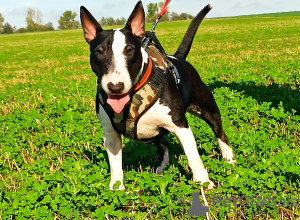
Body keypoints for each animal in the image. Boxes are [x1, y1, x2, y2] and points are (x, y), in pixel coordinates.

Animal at [81, 0, 236, 190]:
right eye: (99, 51)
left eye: (130, 49)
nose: (115, 87)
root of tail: (177, 57)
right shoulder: (111, 135)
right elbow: (115, 164)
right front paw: (116, 189)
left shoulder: (181, 126)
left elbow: (193, 157)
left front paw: (204, 182)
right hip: (152, 133)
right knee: (163, 145)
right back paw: (161, 168)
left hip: (208, 109)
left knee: (221, 135)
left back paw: (229, 160)